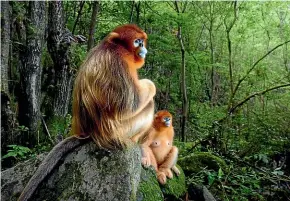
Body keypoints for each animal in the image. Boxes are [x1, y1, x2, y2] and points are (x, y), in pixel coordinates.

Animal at [18, 24, 155, 201]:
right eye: (137, 41)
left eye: (142, 41)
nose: (143, 47)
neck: (113, 47)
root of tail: (89, 133)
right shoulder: (118, 63)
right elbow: (131, 104)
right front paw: (150, 84)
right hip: (120, 130)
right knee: (148, 104)